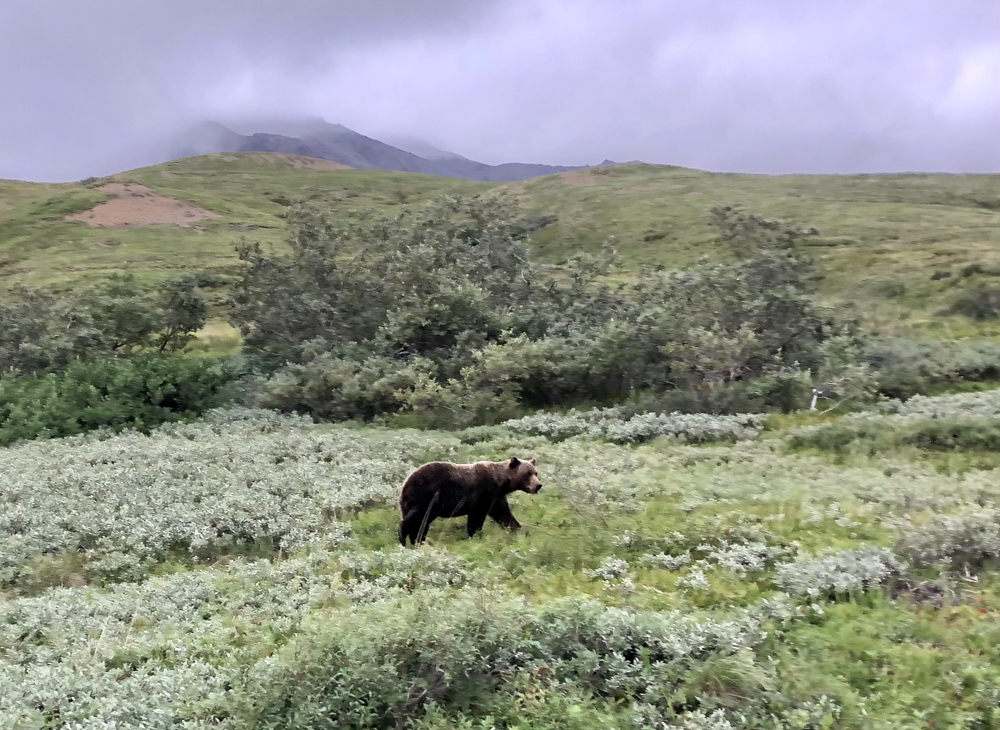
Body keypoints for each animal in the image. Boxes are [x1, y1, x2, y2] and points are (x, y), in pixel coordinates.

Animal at [396, 458, 544, 544]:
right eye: (527, 474)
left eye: (535, 472)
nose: (538, 485)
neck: (501, 482)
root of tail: (405, 482)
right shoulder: (483, 493)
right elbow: (477, 517)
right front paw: (475, 536)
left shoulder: (496, 498)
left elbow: (504, 514)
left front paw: (519, 531)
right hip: (427, 496)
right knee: (419, 516)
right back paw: (404, 536)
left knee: (421, 523)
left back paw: (418, 540)